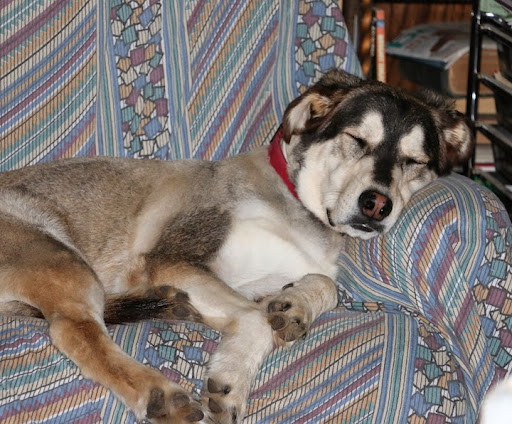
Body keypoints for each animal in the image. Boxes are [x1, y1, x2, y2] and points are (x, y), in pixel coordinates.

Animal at [0, 70, 472, 423]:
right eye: (356, 139)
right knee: (74, 330)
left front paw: (295, 306)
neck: (294, 202)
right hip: (58, 254)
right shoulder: (177, 259)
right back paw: (160, 393)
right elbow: (254, 319)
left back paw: (170, 305)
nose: (377, 205)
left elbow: (324, 285)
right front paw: (231, 380)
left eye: (415, 161)